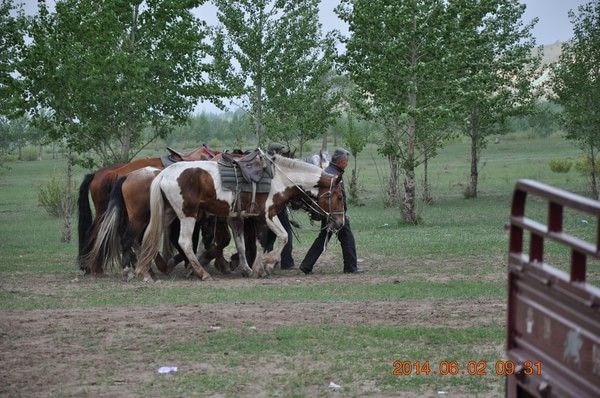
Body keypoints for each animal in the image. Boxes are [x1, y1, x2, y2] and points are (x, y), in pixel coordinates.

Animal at [134, 152, 344, 280]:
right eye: (340, 197)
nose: (340, 222)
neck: (279, 179)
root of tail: (163, 174)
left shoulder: (247, 217)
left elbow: (249, 244)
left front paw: (252, 269)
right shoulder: (266, 215)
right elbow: (281, 237)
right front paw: (267, 264)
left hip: (168, 213)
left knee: (147, 236)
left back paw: (144, 271)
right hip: (188, 215)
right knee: (184, 242)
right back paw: (202, 273)